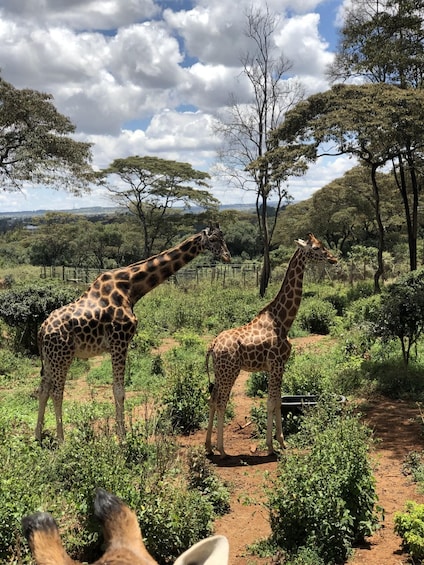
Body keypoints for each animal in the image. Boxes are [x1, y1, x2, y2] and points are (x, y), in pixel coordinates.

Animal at [36, 224, 231, 443]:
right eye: (213, 240)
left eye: (223, 238)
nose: (227, 256)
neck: (131, 287)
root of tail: (41, 331)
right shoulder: (119, 342)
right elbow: (119, 391)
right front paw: (123, 437)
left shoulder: (118, 344)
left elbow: (118, 390)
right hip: (62, 356)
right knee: (57, 392)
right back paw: (62, 440)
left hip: (50, 358)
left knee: (43, 389)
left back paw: (38, 435)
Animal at [205, 233, 338, 457]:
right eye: (316, 248)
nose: (333, 258)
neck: (283, 321)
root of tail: (212, 345)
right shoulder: (277, 364)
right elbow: (271, 402)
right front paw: (272, 445)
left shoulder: (275, 367)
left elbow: (278, 401)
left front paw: (280, 442)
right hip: (230, 371)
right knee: (222, 402)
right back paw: (222, 449)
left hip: (219, 372)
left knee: (213, 400)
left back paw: (208, 446)